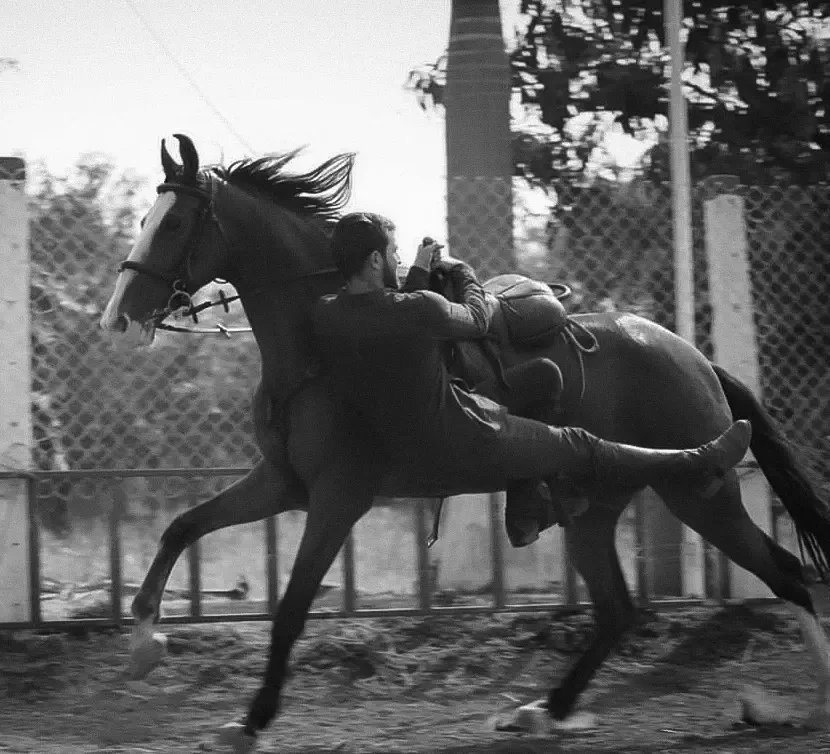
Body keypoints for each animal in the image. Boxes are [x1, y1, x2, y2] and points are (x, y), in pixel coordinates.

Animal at [102, 134, 830, 748]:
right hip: (598, 510)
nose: (118, 318)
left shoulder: (338, 498)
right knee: (618, 610)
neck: (318, 342)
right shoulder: (283, 484)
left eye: (173, 223)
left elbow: (289, 609)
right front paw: (143, 644)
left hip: (698, 499)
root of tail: (696, 359)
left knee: (784, 572)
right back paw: (544, 708)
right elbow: (182, 527)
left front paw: (251, 719)